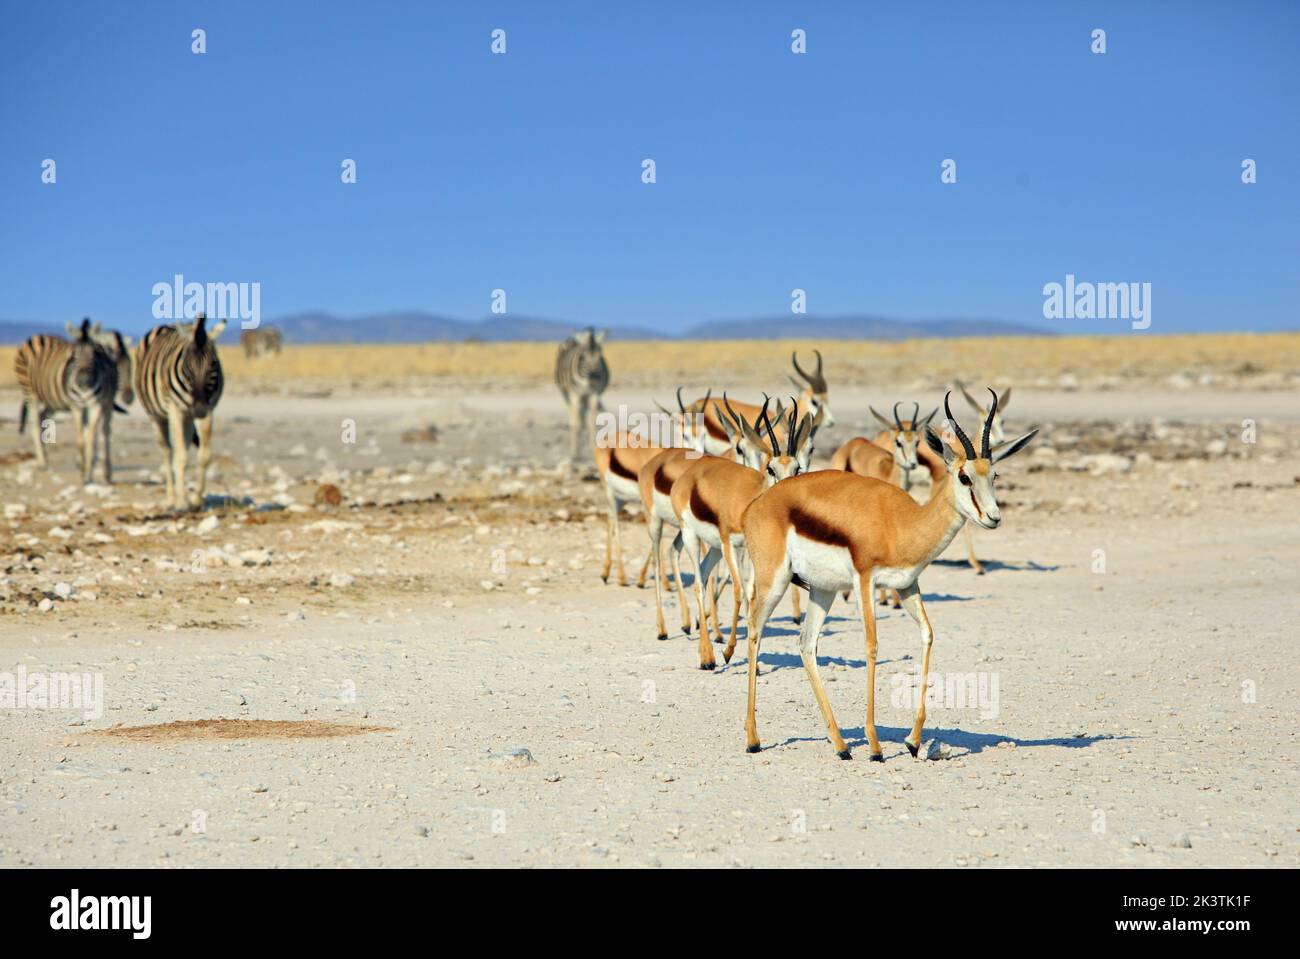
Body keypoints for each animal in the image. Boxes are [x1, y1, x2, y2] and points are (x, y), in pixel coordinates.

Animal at [14, 317, 133, 480]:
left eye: (129, 365)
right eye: (73, 355)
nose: (128, 397)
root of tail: (35, 337)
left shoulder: (96, 405)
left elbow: (92, 434)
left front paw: (90, 465)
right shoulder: (80, 406)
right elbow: (83, 438)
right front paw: (85, 469)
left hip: (52, 401)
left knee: (42, 418)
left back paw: (46, 457)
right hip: (30, 392)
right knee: (34, 424)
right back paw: (42, 462)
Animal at [135, 311, 227, 509]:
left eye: (213, 364)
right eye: (187, 367)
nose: (198, 409)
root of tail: (165, 325)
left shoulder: (208, 410)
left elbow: (204, 456)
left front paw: (196, 500)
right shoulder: (175, 410)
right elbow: (181, 456)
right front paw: (182, 502)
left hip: (188, 418)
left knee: (180, 446)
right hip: (157, 416)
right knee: (167, 452)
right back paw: (172, 497)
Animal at [551, 327, 605, 462]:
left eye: (600, 353)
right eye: (583, 355)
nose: (594, 379)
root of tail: (572, 339)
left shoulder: (593, 395)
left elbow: (591, 424)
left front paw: (593, 451)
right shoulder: (575, 395)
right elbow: (577, 425)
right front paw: (575, 454)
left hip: (585, 398)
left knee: (583, 417)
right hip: (567, 395)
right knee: (574, 418)